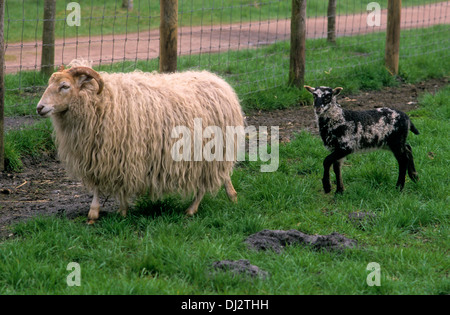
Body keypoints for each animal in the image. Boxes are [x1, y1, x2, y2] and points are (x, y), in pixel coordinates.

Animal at [37, 60, 244, 223]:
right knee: (222, 175)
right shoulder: (95, 153)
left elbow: (120, 184)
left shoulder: (122, 154)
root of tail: (219, 83)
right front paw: (94, 213)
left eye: (65, 86)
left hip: (208, 152)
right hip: (215, 150)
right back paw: (233, 196)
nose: (40, 108)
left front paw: (121, 211)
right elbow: (96, 183)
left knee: (205, 183)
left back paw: (192, 209)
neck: (101, 101)